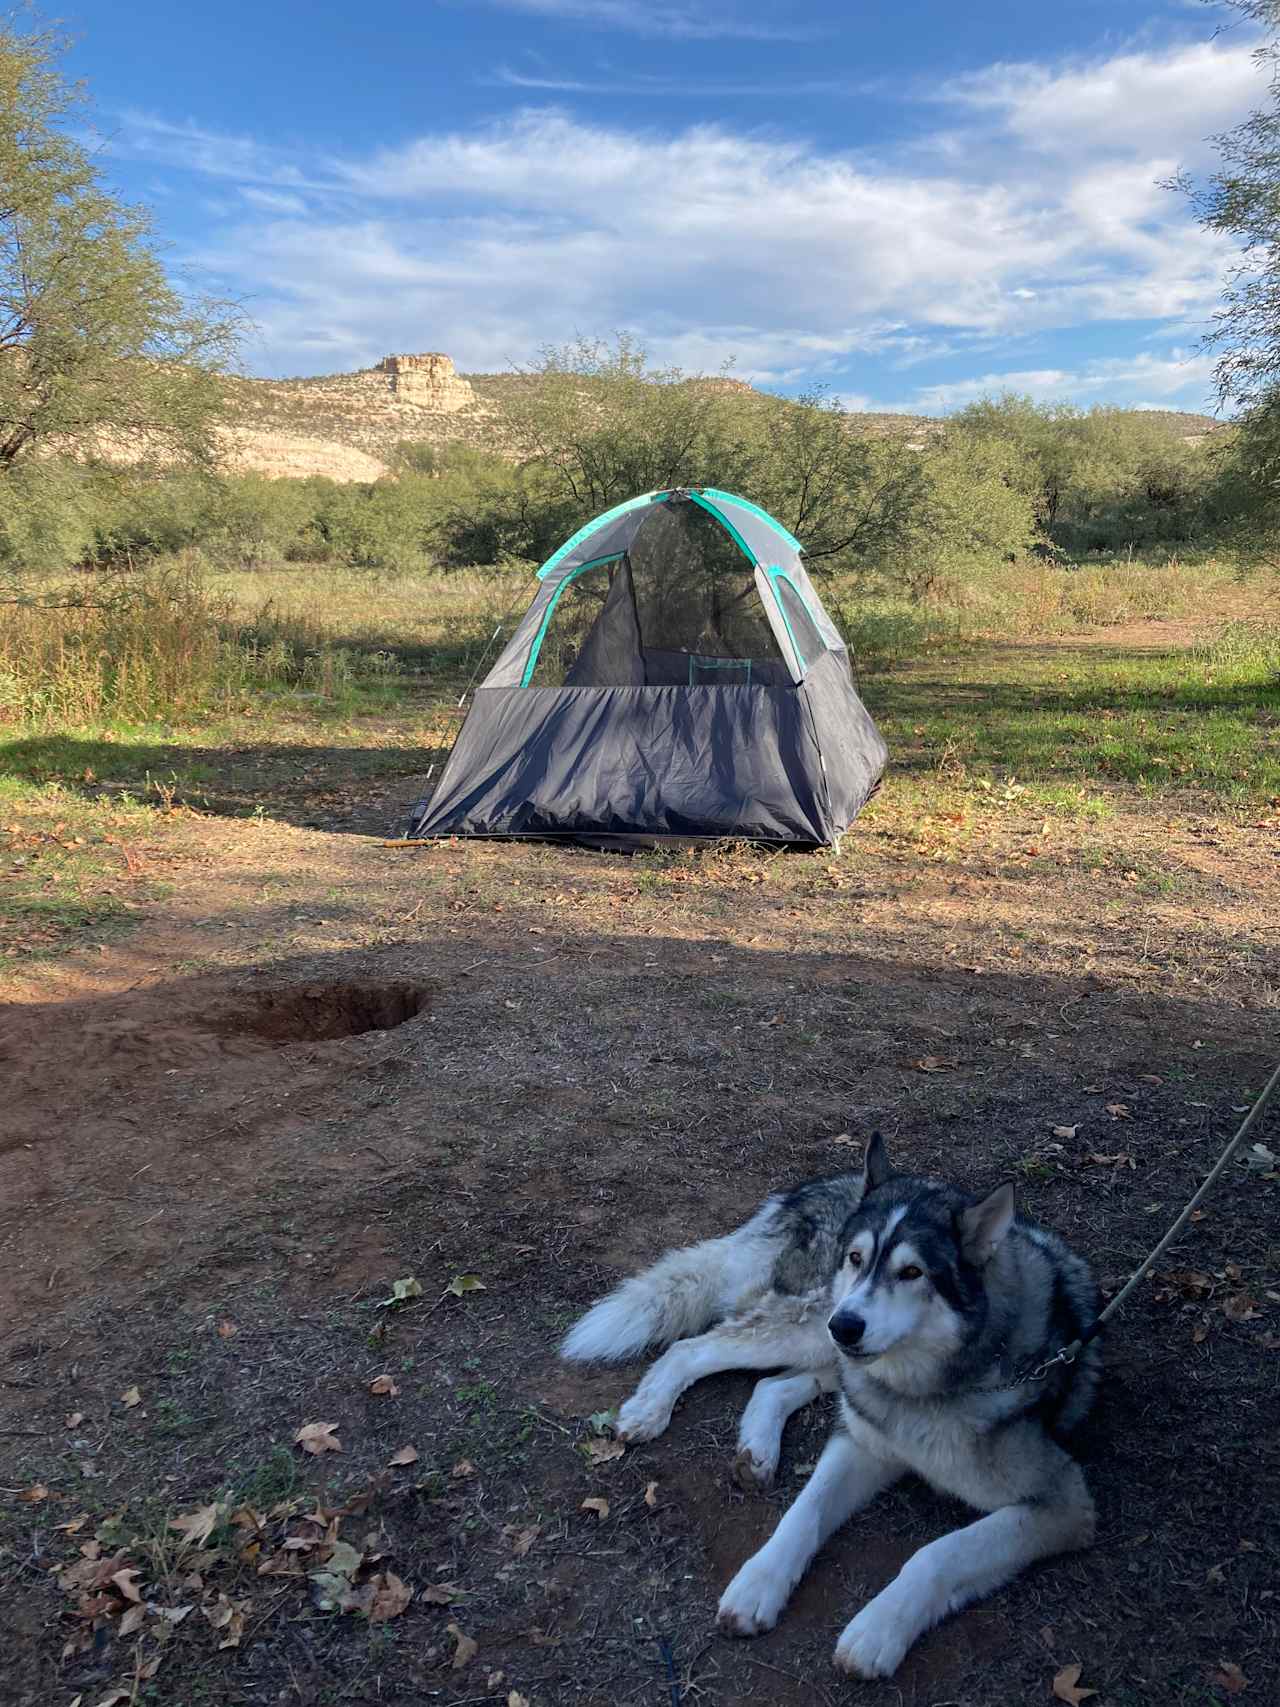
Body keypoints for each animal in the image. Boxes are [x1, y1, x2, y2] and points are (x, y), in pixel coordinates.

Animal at [559, 1133, 1105, 1679]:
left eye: (912, 1272)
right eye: (857, 1259)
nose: (846, 1326)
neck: (930, 1390)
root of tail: (822, 1183)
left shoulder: (1063, 1503)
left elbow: (939, 1553)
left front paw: (876, 1631)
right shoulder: (861, 1444)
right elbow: (804, 1510)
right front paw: (759, 1581)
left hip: (824, 1347)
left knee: (768, 1385)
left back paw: (756, 1452)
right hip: (811, 1329)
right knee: (691, 1348)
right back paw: (649, 1411)